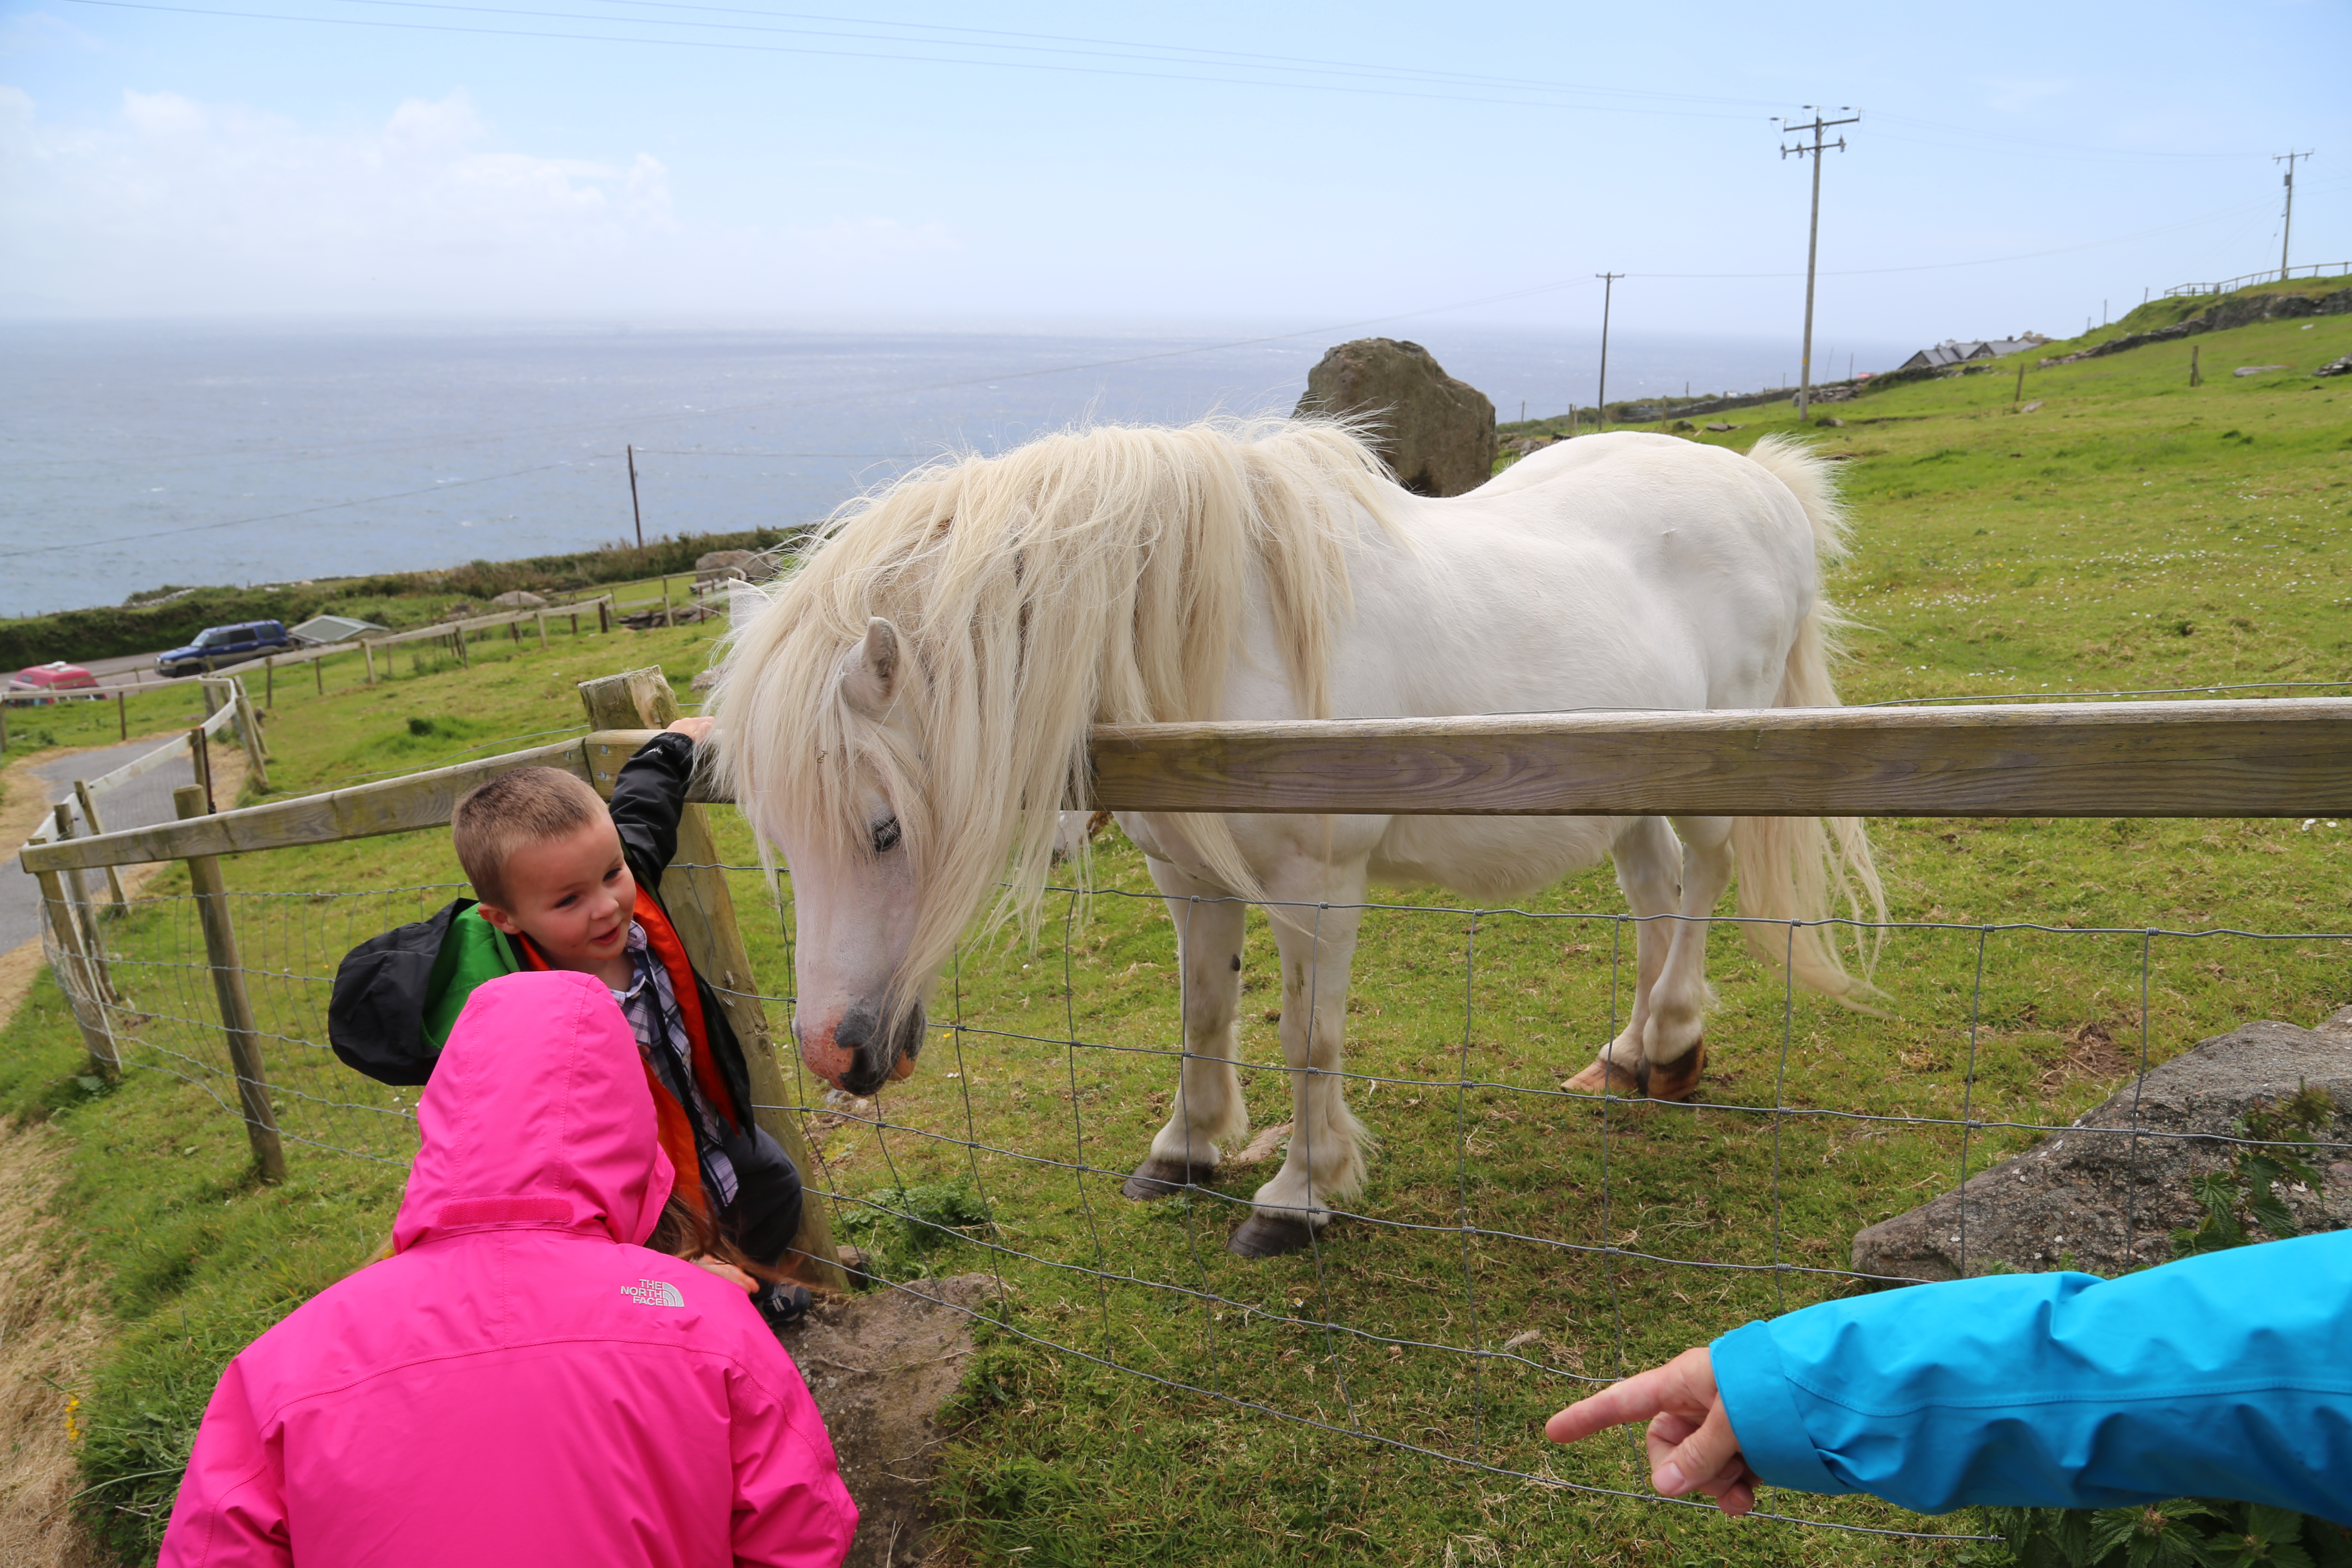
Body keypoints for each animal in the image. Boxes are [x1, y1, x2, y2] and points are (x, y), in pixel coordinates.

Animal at [710, 423, 1872, 1260]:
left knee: (1703, 878)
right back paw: (1631, 1054)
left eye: (884, 827)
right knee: (1652, 884)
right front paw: (1185, 1150)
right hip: (1627, 780)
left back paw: (1671, 1038)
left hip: (1718, 766)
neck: (1213, 639)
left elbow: (1307, 1037)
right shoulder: (1187, 876)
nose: (833, 1051)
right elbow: (1204, 1013)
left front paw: (1299, 1195)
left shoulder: (1317, 886)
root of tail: (1763, 485)